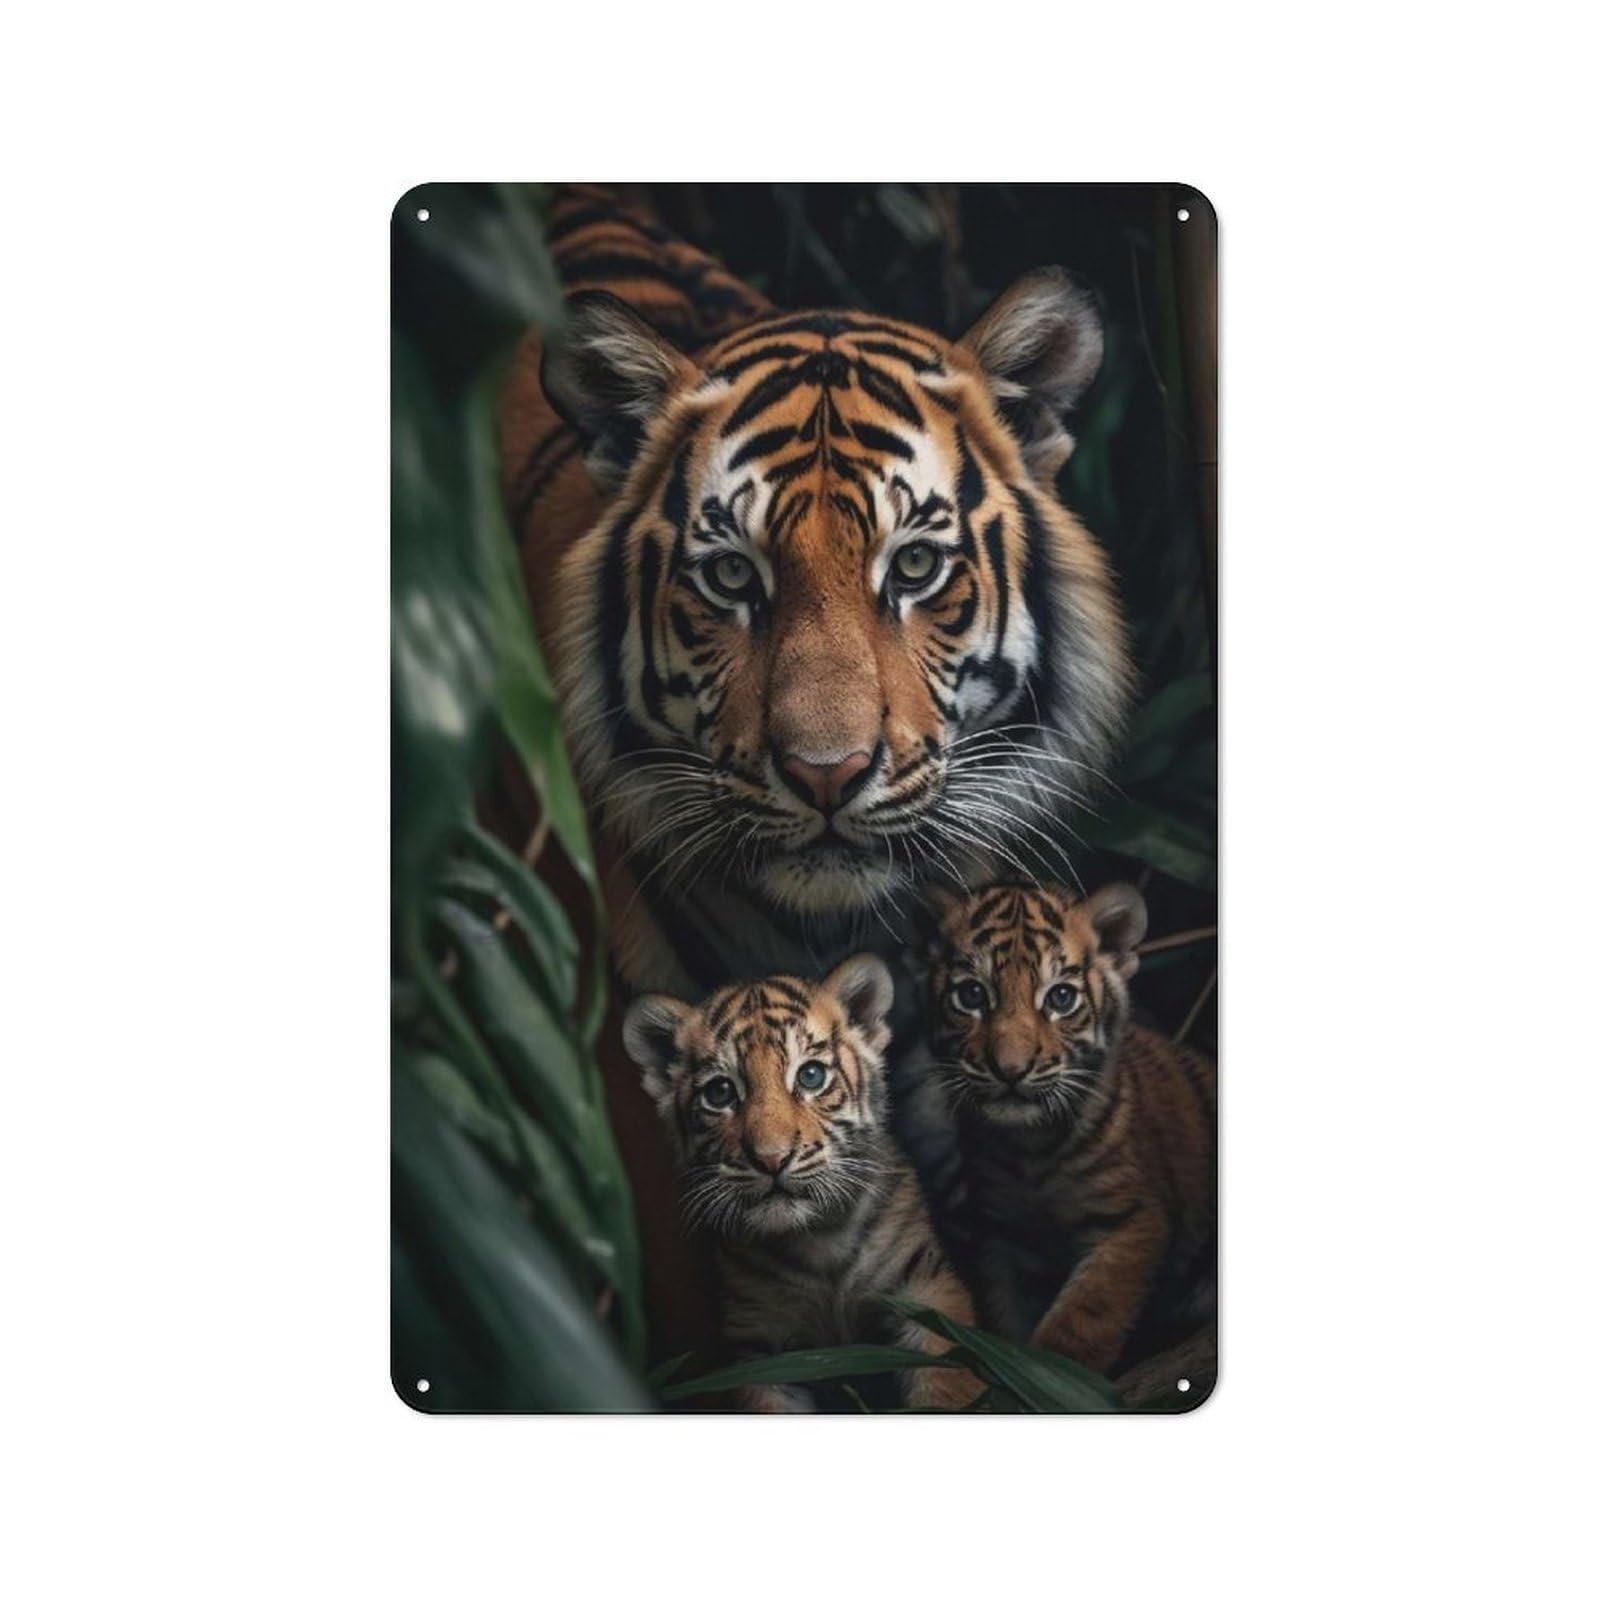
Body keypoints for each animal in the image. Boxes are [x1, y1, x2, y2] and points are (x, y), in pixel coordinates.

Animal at [622, 955, 986, 1412]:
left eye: (811, 1076)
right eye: (720, 1092)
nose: (771, 1158)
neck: (818, 1239)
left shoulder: (926, 1289)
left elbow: (947, 1387)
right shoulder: (760, 1346)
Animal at [925, 880, 1217, 1385]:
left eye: (1060, 998)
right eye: (972, 995)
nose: (1010, 1069)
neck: (1029, 1148)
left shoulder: (1131, 1223)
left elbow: (1078, 1328)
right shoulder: (1000, 1238)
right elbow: (1007, 1325)